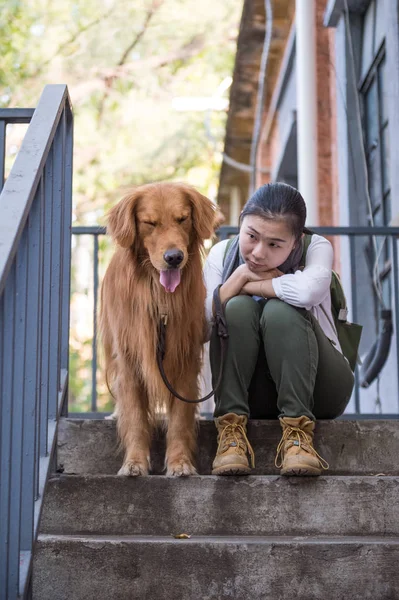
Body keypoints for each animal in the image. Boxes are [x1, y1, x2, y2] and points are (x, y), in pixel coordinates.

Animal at [100, 180, 219, 476]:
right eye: (149, 223)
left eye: (182, 219)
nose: (174, 257)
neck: (159, 296)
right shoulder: (130, 359)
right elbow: (134, 417)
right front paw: (134, 463)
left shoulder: (185, 357)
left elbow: (179, 419)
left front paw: (180, 462)